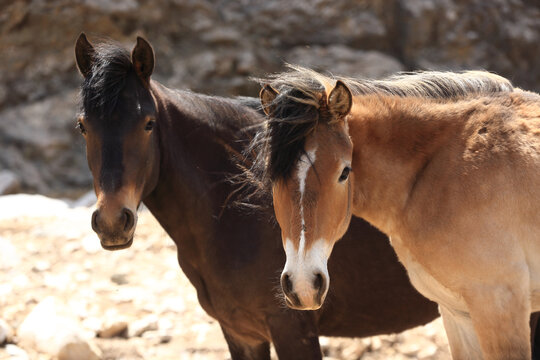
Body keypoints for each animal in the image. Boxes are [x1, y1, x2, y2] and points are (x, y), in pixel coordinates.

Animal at [75, 33, 438, 358]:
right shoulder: (241, 333)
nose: (111, 222)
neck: (234, 211)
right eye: (83, 126)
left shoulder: (292, 330)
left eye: (148, 124)